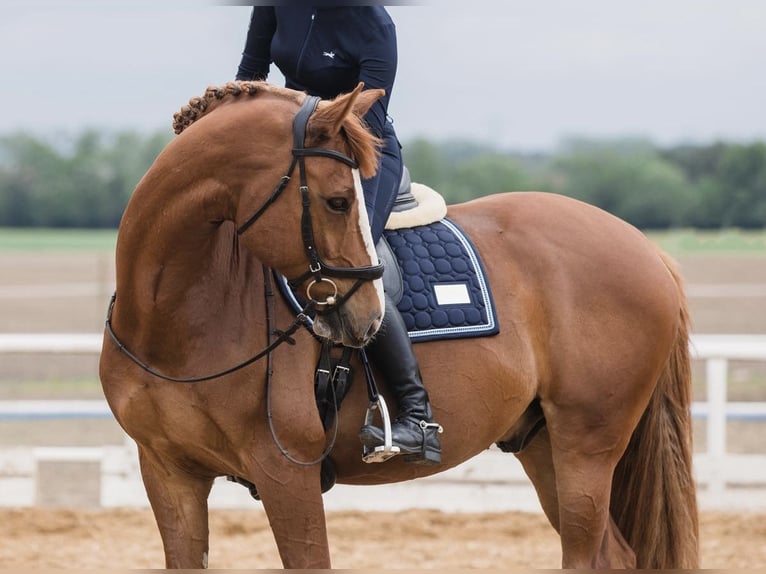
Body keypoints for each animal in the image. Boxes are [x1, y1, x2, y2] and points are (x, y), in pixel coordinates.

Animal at [97, 81, 704, 572]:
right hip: (543, 443)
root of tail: (645, 248)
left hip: (587, 445)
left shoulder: (286, 474)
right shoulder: (168, 472)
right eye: (338, 200)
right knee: (614, 555)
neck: (178, 321)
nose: (367, 318)